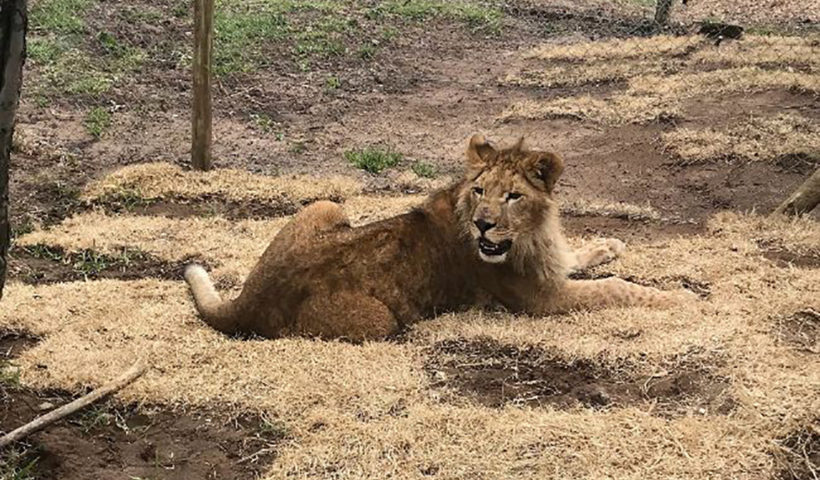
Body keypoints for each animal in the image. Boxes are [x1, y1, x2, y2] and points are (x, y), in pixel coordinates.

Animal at [184, 135, 692, 342]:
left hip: (328, 205)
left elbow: (580, 255)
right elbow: (617, 289)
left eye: (512, 196)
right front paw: (680, 300)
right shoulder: (540, 300)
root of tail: (246, 301)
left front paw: (610, 246)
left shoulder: (549, 265)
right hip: (380, 321)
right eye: (481, 191)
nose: (484, 225)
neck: (527, 235)